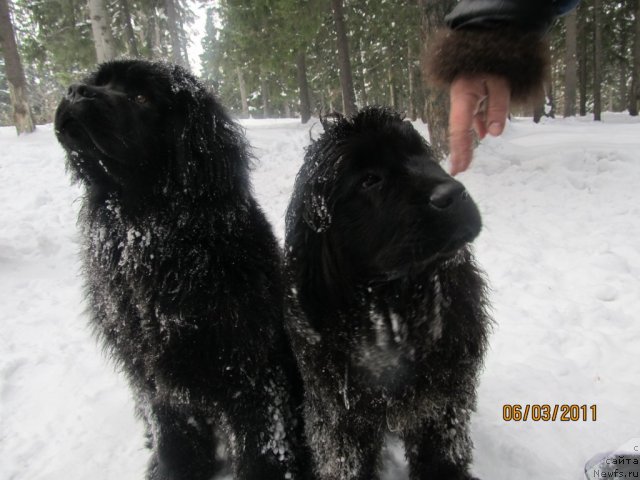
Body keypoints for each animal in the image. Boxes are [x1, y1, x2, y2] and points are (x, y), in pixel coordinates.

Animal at [55, 61, 312, 480]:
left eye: (141, 97)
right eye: (98, 82)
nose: (76, 91)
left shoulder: (252, 371)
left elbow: (262, 444)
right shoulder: (155, 381)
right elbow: (174, 437)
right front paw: (170, 469)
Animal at [284, 109, 490, 480]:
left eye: (422, 156)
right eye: (369, 180)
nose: (454, 192)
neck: (395, 308)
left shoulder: (442, 405)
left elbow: (442, 456)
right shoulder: (339, 420)